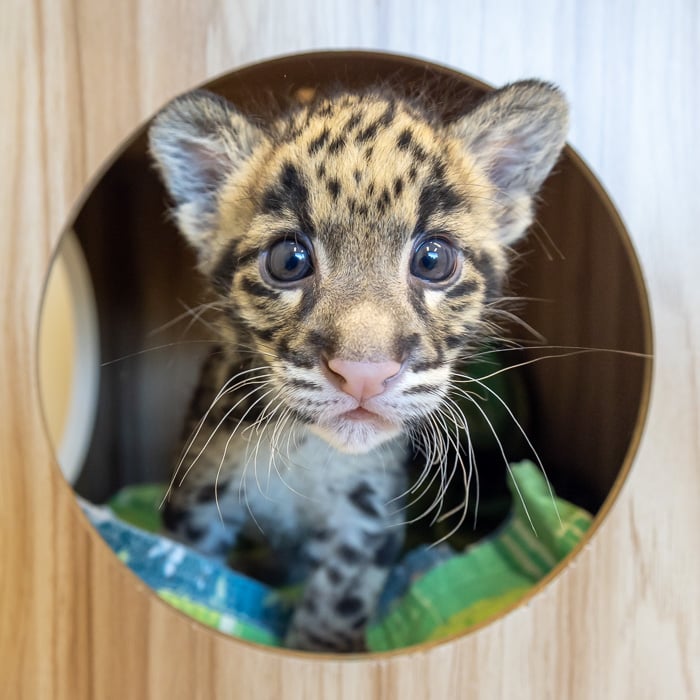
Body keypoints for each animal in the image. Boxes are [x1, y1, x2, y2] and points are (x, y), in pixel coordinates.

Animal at [148, 79, 568, 652]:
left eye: (433, 260)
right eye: (289, 260)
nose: (364, 372)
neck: (306, 451)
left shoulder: (364, 517)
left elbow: (335, 604)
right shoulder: (199, 490)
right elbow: (192, 572)